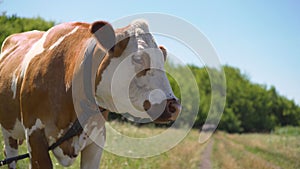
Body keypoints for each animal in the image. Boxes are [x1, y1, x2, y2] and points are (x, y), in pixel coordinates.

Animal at [0, 20, 180, 169]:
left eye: (162, 61)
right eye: (137, 59)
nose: (175, 106)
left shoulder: (97, 140)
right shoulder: (34, 136)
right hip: (8, 130)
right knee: (10, 155)